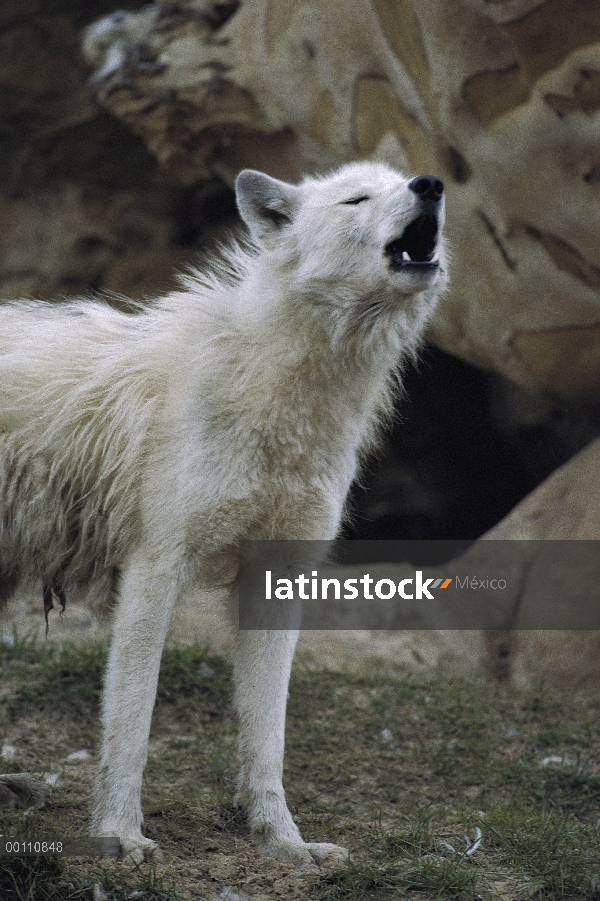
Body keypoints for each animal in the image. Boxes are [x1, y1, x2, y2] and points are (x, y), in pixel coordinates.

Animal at [0, 160, 446, 864]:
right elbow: (131, 723)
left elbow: (267, 737)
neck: (278, 403)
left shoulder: (277, 582)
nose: (431, 184)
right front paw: (119, 834)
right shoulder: (154, 570)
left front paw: (285, 844)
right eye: (356, 199)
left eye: (400, 181)